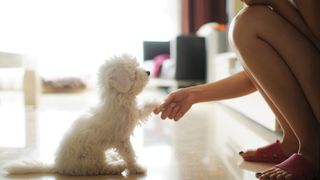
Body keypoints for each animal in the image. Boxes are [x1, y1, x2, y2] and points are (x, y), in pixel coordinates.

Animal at [4, 54, 159, 175]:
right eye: (134, 72)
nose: (148, 72)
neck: (119, 100)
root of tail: (58, 166)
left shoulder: (135, 113)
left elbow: (142, 110)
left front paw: (156, 103)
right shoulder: (122, 139)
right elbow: (130, 154)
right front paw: (137, 168)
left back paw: (113, 158)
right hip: (91, 156)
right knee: (100, 167)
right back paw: (116, 165)